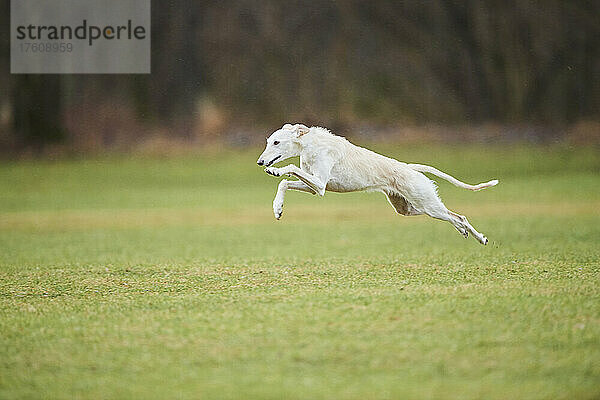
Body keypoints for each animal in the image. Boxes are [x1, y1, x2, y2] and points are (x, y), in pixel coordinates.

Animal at [255, 124, 500, 244]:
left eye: (276, 142)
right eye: (268, 141)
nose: (260, 162)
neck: (310, 144)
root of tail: (410, 168)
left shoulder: (320, 185)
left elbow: (289, 169)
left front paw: (276, 170)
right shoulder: (315, 187)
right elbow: (284, 184)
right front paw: (277, 209)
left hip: (427, 203)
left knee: (458, 216)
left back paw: (477, 236)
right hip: (408, 208)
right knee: (454, 216)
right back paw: (467, 233)